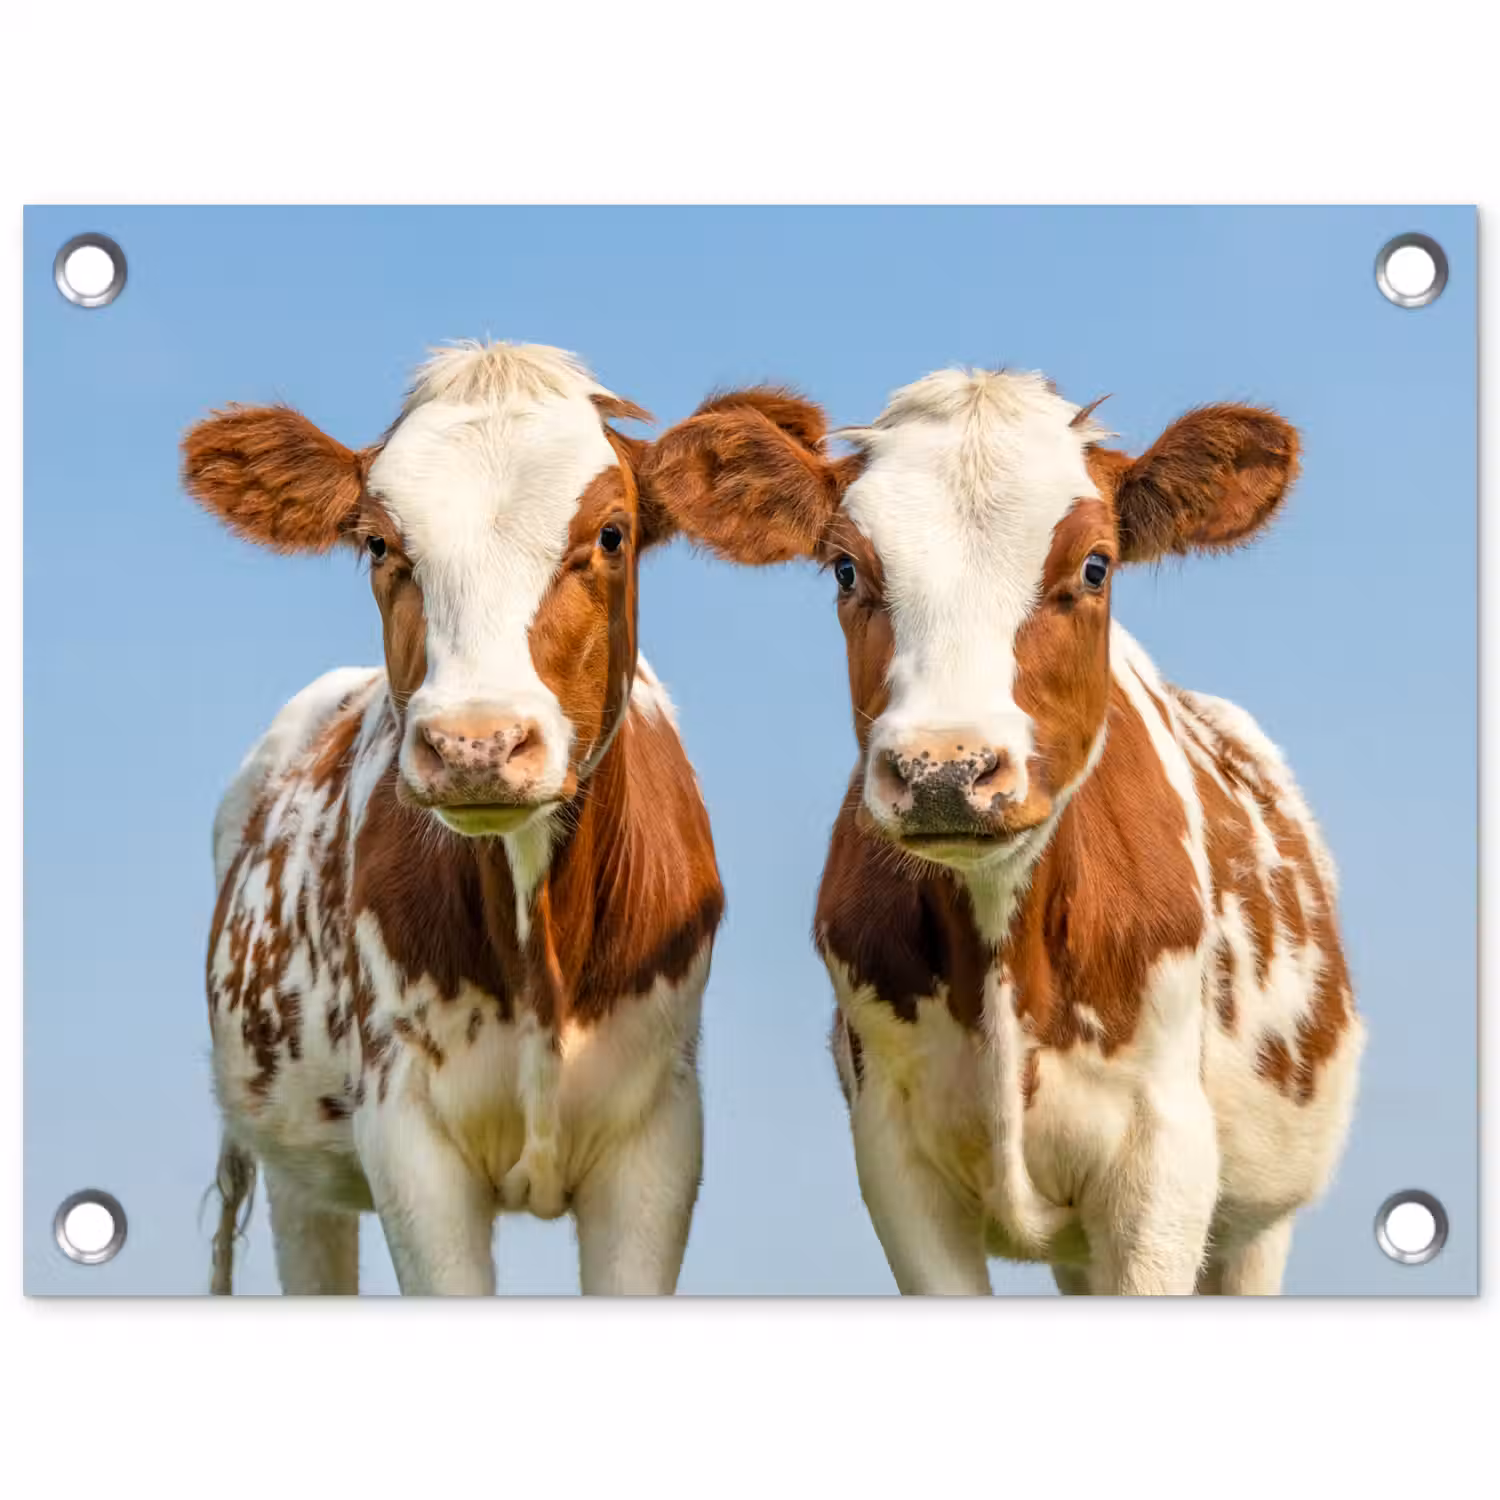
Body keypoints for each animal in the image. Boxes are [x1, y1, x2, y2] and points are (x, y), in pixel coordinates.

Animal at [184, 342, 724, 1295]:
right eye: (377, 542)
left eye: (611, 534)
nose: (477, 742)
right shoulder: (408, 1141)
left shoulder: (659, 1140)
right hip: (296, 1172)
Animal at [640, 371, 1364, 1294]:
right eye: (846, 567)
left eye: (1095, 565)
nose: (945, 769)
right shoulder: (896, 1157)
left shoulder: (1163, 1163)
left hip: (1257, 1224)